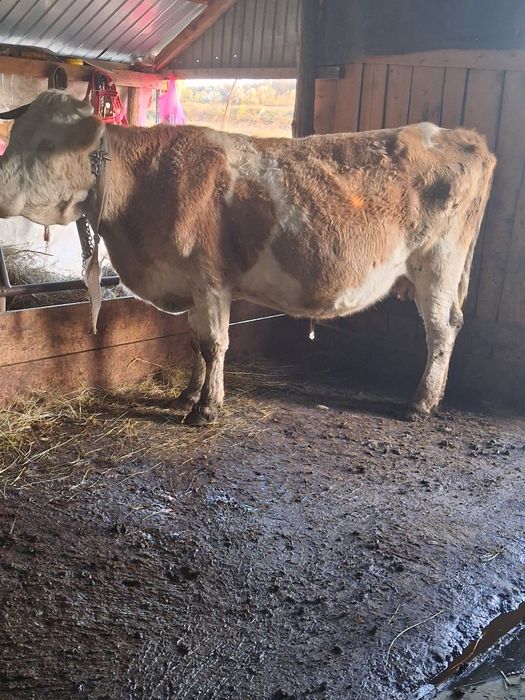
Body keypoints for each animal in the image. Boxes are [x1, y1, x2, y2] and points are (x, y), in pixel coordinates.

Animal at [0, 90, 495, 425]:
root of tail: (462, 136)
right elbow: (194, 342)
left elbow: (215, 344)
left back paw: (422, 402)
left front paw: (207, 409)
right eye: (14, 136)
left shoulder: (210, 281)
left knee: (442, 330)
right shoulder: (191, 285)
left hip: (438, 265)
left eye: (47, 145)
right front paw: (188, 395)